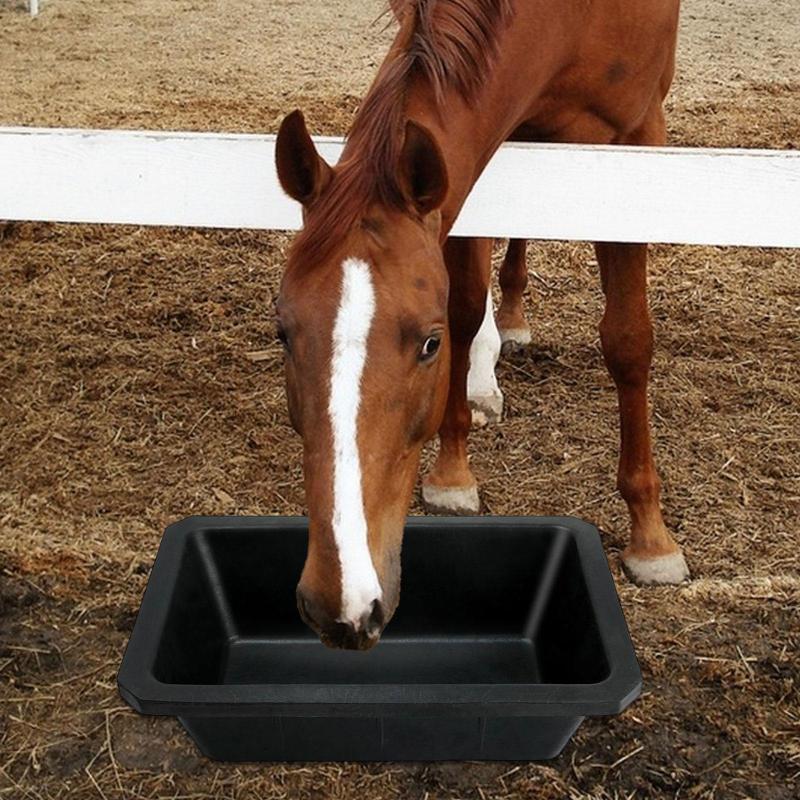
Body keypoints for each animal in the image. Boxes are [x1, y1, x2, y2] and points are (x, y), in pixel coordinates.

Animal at [274, 0, 688, 650]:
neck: (568, 19)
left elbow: (627, 341)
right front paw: (453, 471)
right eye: (283, 334)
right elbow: (467, 305)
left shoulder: (636, 138)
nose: (341, 605)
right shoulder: (469, 160)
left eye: (428, 344)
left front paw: (651, 537)